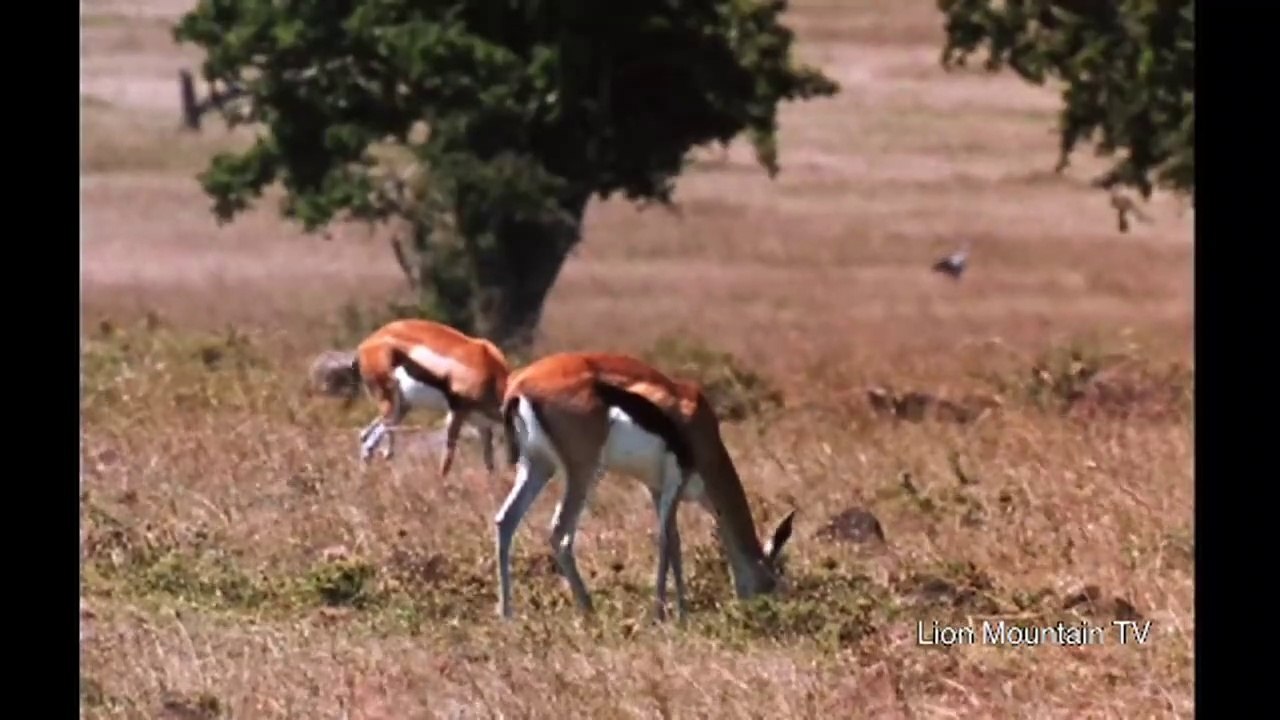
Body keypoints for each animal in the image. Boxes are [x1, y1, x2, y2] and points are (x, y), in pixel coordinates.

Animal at [308, 319, 511, 476]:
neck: (490, 371)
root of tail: (365, 346)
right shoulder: (456, 414)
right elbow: (447, 459)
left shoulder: (482, 425)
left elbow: (489, 464)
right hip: (390, 406)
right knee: (371, 442)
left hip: (401, 408)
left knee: (366, 437)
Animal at [494, 351, 795, 621]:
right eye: (771, 581)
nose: (760, 611)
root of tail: (520, 385)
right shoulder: (676, 480)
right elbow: (667, 540)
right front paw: (669, 615)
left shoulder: (657, 488)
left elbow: (672, 539)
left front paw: (673, 612)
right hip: (584, 471)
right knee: (560, 533)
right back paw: (590, 611)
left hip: (538, 466)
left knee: (505, 520)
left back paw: (508, 614)